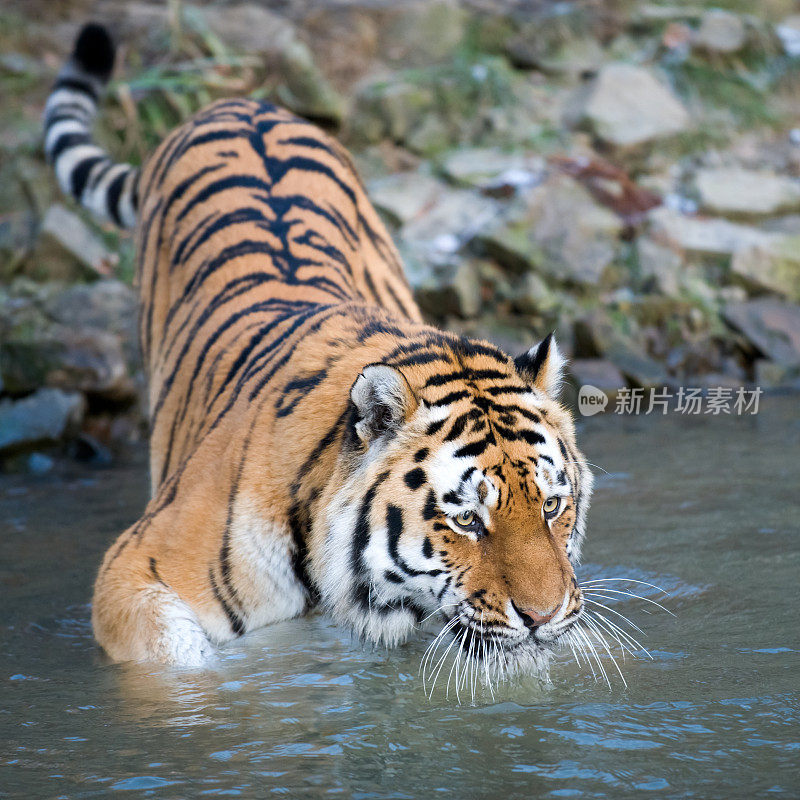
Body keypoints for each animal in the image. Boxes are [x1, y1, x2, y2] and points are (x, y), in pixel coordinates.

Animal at [45, 21, 592, 680]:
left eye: (553, 505)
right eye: (466, 519)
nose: (544, 617)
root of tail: (238, 102)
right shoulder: (130, 569)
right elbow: (178, 654)